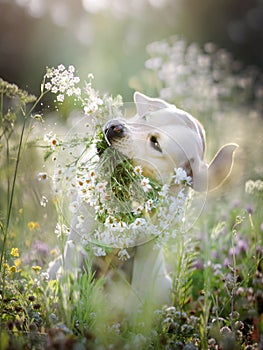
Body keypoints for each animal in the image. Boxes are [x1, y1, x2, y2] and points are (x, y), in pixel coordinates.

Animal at [48, 91, 239, 312]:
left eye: (156, 143)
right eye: (145, 118)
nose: (116, 127)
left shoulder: (149, 249)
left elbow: (138, 295)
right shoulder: (80, 233)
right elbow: (70, 277)